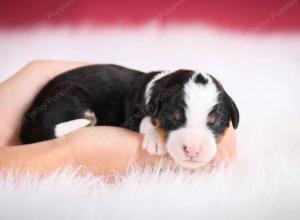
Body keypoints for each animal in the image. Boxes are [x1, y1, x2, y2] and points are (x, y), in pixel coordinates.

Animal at [19, 64, 239, 168]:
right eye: (174, 117)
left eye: (215, 122)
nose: (193, 150)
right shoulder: (131, 115)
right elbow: (145, 121)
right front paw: (155, 140)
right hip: (69, 94)